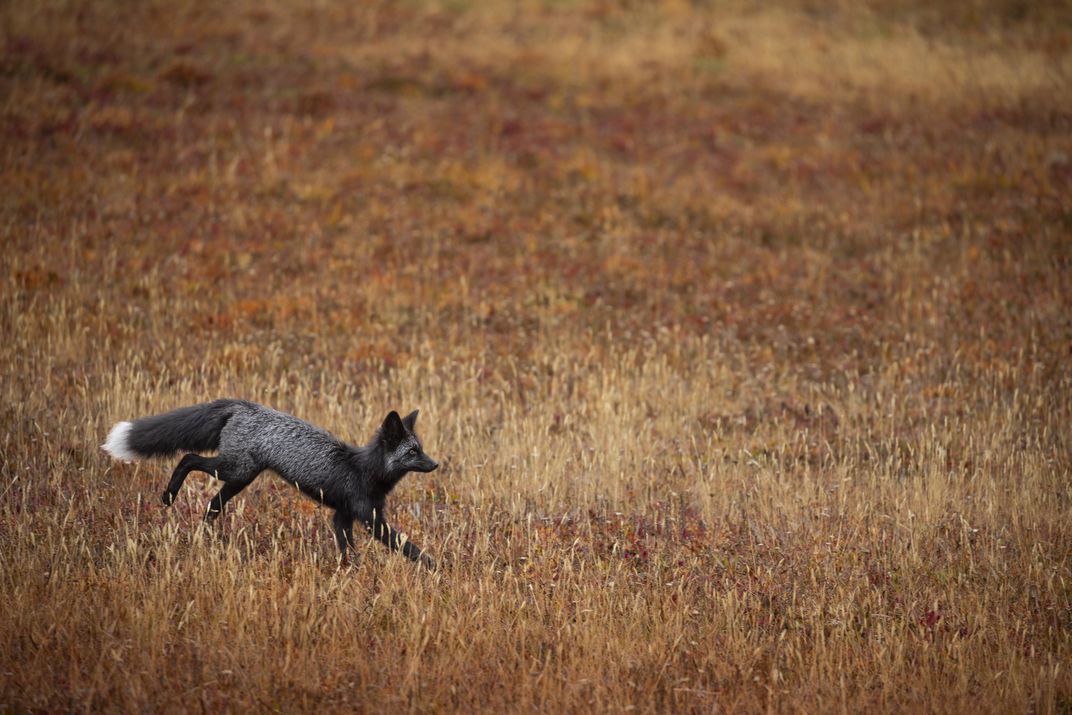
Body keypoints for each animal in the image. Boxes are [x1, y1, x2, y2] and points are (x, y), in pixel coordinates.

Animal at [101, 400, 438, 569]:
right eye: (412, 452)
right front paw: (436, 567)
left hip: (238, 479)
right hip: (233, 470)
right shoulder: (369, 518)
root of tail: (245, 405)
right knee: (188, 458)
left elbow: (347, 549)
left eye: (420, 449)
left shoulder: (341, 516)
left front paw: (350, 573)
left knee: (211, 505)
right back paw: (169, 496)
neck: (365, 470)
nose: (436, 464)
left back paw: (203, 537)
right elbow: (406, 545)